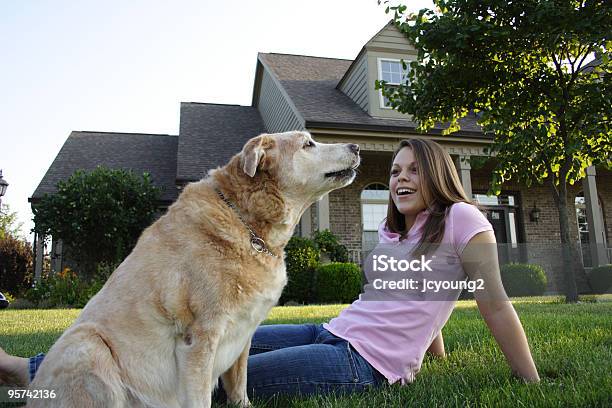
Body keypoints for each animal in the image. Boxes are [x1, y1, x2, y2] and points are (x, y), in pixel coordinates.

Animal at [28, 131, 360, 408]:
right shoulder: (200, 338)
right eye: (308, 144)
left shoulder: (244, 334)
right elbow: (201, 398)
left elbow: (240, 386)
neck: (248, 225)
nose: (356, 146)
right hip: (87, 345)